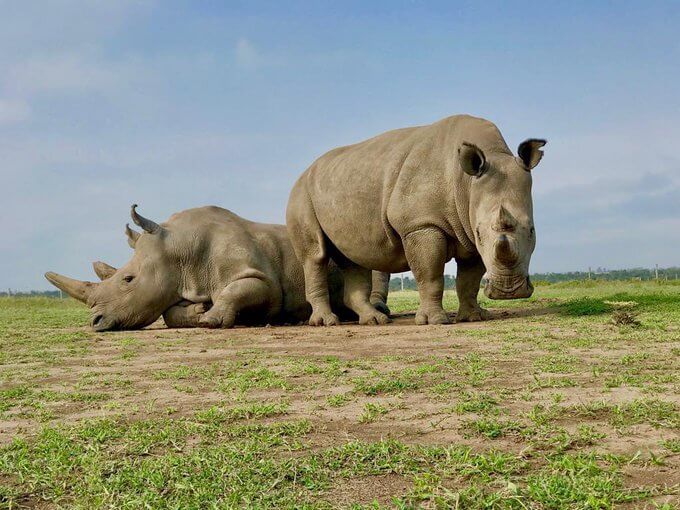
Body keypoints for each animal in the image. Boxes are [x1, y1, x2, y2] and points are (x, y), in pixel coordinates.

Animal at [45, 205, 390, 331]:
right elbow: (169, 314)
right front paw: (198, 312)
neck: (178, 249)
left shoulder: (263, 281)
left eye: (128, 279)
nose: (95, 322)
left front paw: (211, 319)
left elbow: (240, 289)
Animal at [286, 114, 545, 326]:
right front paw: (435, 321)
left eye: (532, 231)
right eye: (481, 233)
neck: (466, 183)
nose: (508, 291)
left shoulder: (468, 231)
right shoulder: (420, 224)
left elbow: (469, 280)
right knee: (316, 256)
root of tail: (303, 172)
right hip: (301, 194)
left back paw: (374, 321)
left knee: (354, 260)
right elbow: (430, 273)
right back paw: (327, 322)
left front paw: (474, 317)